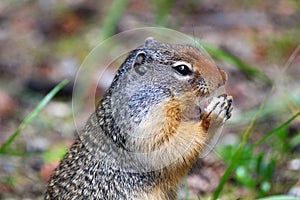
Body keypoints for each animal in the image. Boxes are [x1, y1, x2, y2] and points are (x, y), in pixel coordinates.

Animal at [44, 37, 233, 198]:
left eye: (193, 48)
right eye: (182, 69)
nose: (224, 75)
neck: (157, 90)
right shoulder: (147, 119)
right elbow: (169, 146)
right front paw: (213, 115)